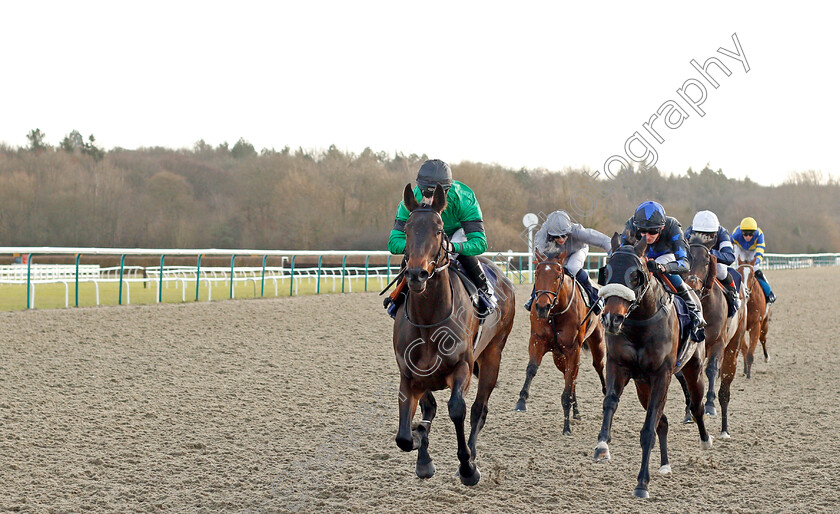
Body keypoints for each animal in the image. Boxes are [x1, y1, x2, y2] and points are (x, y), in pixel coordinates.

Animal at [390, 183, 516, 484]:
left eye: (438, 230)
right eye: (408, 228)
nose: (417, 274)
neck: (428, 320)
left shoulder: (462, 366)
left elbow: (457, 408)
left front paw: (467, 466)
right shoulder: (410, 374)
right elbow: (406, 434)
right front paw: (421, 449)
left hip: (493, 354)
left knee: (479, 408)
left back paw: (471, 455)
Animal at [512, 247, 604, 432]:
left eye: (557, 276)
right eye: (537, 274)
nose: (542, 307)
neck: (555, 313)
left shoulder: (573, 349)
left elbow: (568, 386)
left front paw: (566, 426)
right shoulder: (537, 340)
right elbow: (532, 368)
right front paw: (521, 401)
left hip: (596, 343)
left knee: (596, 367)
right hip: (558, 356)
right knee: (572, 378)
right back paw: (576, 412)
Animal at [592, 235, 712, 496]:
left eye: (635, 276)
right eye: (606, 272)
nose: (611, 319)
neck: (640, 324)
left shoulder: (661, 375)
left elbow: (648, 429)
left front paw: (641, 483)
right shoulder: (619, 366)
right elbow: (610, 402)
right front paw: (602, 445)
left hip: (693, 371)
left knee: (697, 407)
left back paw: (706, 440)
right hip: (642, 386)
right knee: (663, 421)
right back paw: (665, 465)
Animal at [684, 233, 748, 436]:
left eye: (706, 261)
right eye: (685, 259)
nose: (692, 286)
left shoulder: (718, 342)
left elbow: (711, 369)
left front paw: (710, 404)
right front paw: (689, 410)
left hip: (733, 345)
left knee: (725, 384)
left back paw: (724, 429)